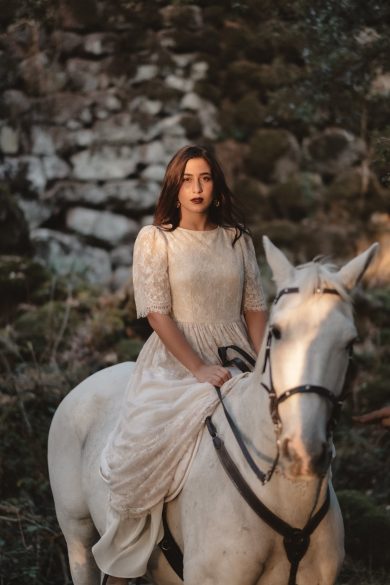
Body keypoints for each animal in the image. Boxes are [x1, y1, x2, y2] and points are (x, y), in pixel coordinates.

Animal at [46, 237, 378, 584]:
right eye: (276, 331)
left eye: (350, 342)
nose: (303, 453)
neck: (285, 500)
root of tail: (87, 382)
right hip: (78, 535)